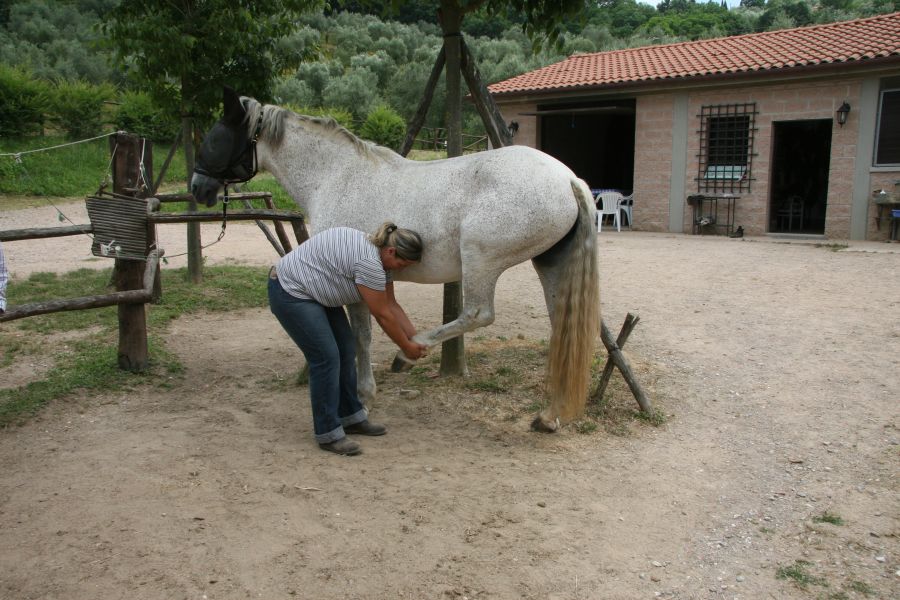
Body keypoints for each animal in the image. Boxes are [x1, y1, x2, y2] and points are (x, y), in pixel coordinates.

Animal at [191, 86, 600, 432]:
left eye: (214, 137)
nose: (198, 188)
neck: (336, 176)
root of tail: (569, 180)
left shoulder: (356, 280)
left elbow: (361, 336)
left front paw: (365, 395)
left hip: (480, 260)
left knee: (478, 314)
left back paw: (410, 353)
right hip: (548, 266)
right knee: (562, 329)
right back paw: (549, 416)